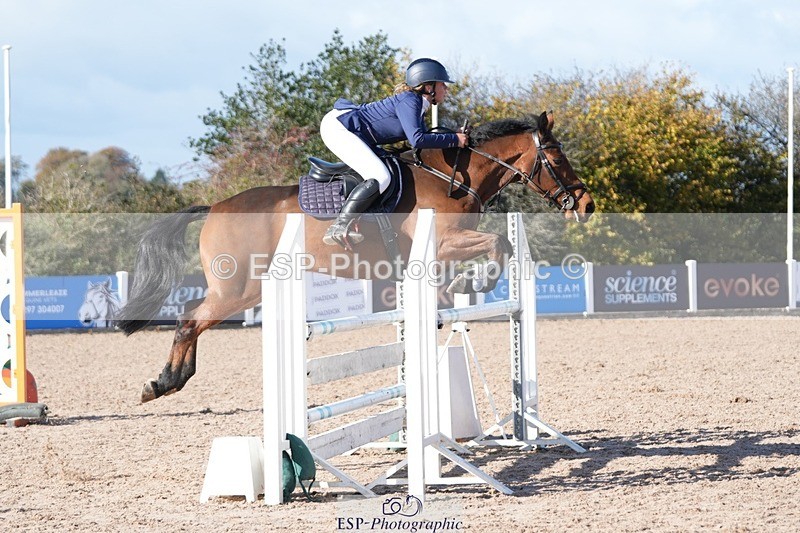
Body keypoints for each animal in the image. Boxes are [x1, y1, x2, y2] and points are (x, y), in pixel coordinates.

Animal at [116, 111, 595, 403]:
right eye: (556, 158)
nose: (587, 205)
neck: (453, 178)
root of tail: (215, 207)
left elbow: (498, 248)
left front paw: (461, 287)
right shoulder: (442, 243)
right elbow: (498, 244)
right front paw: (473, 282)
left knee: (192, 320)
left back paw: (171, 380)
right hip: (239, 287)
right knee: (189, 320)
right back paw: (163, 383)